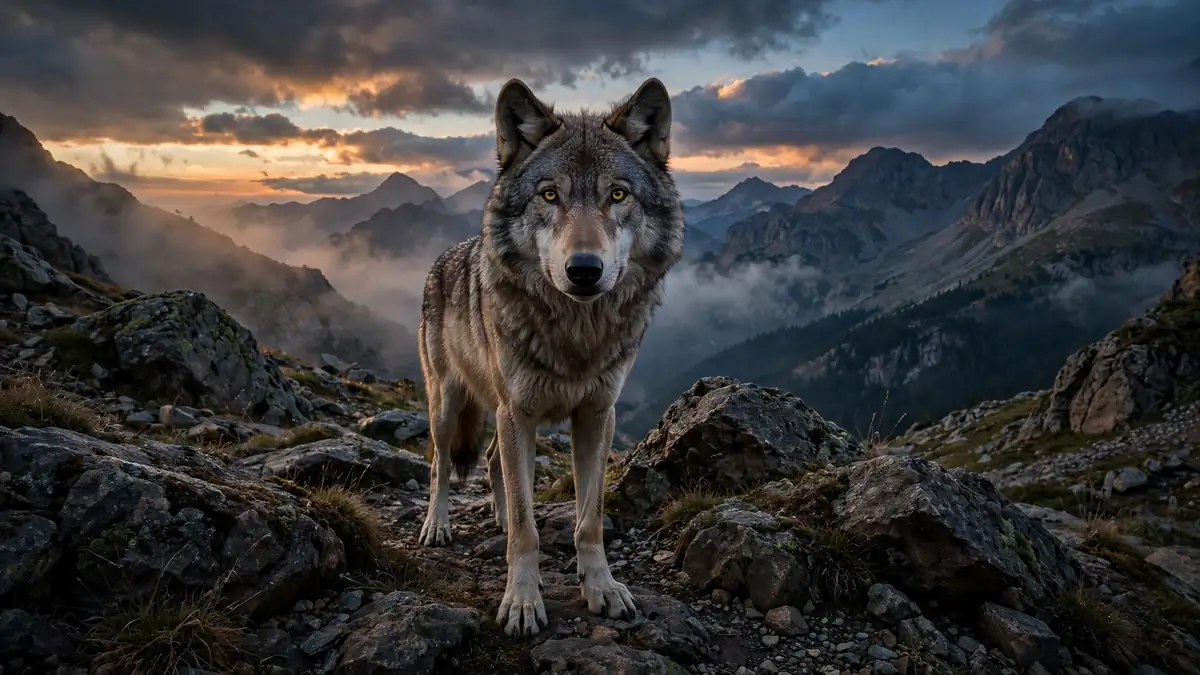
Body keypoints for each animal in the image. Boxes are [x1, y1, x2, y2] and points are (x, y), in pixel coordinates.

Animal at [415, 76, 684, 637]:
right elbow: (526, 526)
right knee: (439, 466)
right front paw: (522, 600)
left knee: (492, 462)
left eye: (618, 195)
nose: (584, 269)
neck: (576, 335)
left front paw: (602, 588)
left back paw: (494, 515)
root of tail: (442, 259)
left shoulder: (597, 416)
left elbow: (588, 519)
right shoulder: (518, 414)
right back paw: (437, 524)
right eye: (549, 194)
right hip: (447, 404)